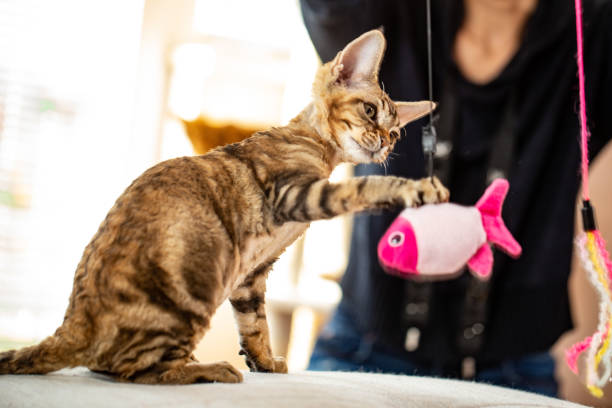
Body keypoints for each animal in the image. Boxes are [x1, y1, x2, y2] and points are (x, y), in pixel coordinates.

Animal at [0, 30, 450, 384]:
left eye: (395, 133)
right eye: (369, 110)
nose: (384, 144)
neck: (316, 147)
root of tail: (73, 327)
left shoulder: (251, 274)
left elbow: (256, 325)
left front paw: (265, 361)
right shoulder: (293, 193)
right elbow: (366, 186)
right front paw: (417, 188)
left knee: (115, 365)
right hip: (198, 279)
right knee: (131, 370)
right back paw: (204, 369)